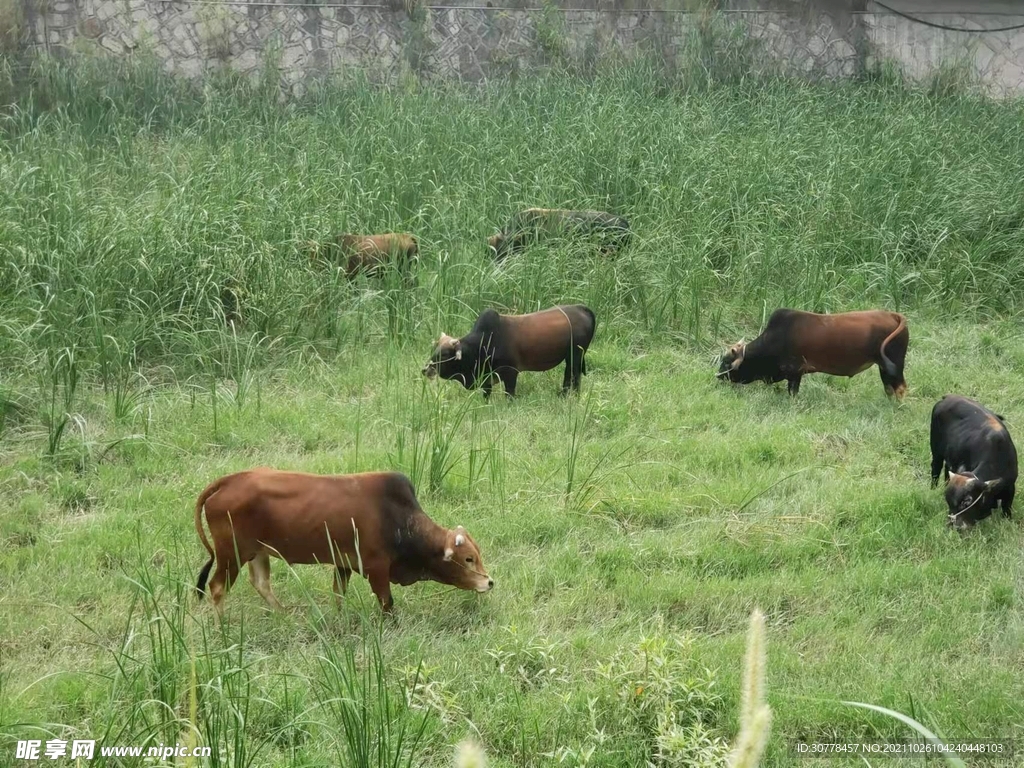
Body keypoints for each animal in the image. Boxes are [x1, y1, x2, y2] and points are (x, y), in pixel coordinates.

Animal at [195, 466, 495, 618]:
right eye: (468, 558)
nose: (489, 582)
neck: (398, 519)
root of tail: (227, 481)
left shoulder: (343, 565)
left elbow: (338, 595)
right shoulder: (376, 569)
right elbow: (387, 602)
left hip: (257, 552)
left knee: (261, 583)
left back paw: (283, 614)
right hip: (231, 554)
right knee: (217, 588)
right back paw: (223, 626)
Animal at [716, 309, 909, 399]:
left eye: (726, 362)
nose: (717, 376)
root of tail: (893, 315)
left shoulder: (795, 372)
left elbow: (792, 393)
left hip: (895, 364)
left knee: (900, 388)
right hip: (884, 367)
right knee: (889, 388)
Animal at [929, 397, 1015, 528]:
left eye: (967, 501)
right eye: (948, 502)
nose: (954, 525)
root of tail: (947, 397)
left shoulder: (1010, 488)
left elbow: (1007, 510)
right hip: (936, 452)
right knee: (935, 470)